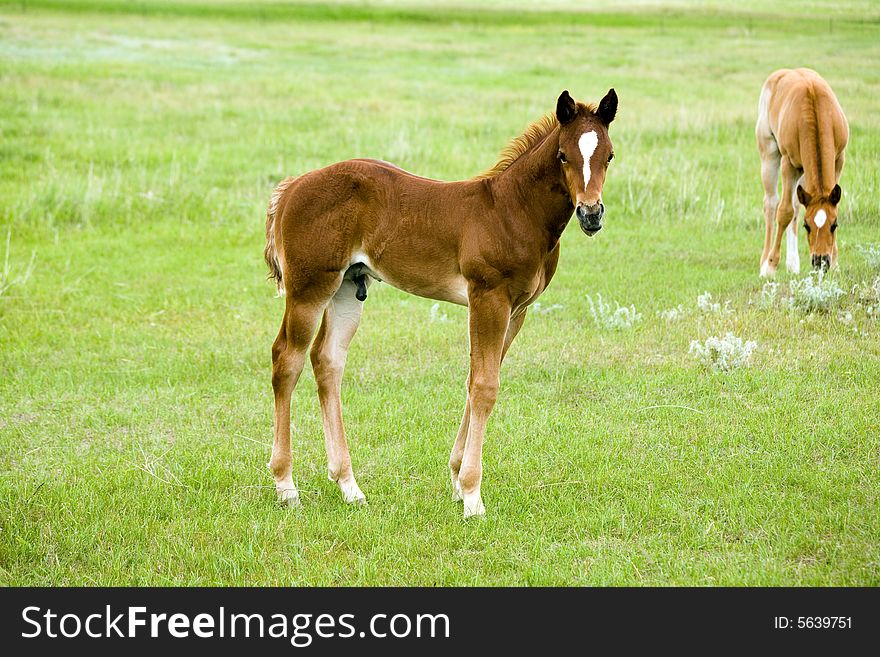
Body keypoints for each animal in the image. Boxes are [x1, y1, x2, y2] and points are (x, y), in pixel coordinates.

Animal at [264, 88, 616, 516]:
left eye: (609, 155)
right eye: (564, 155)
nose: (591, 213)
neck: (512, 210)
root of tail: (292, 187)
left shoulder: (516, 310)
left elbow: (477, 379)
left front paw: (457, 480)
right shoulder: (488, 298)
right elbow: (484, 386)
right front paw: (472, 495)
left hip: (347, 287)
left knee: (327, 360)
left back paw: (349, 485)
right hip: (309, 288)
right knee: (287, 359)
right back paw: (286, 485)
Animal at [752, 70, 848, 276]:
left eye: (834, 225)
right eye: (807, 226)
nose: (821, 261)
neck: (816, 112)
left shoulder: (839, 159)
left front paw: (836, 264)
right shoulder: (788, 164)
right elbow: (784, 212)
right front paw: (770, 266)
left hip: (804, 171)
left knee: (796, 205)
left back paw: (793, 263)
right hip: (769, 154)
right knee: (771, 204)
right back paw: (765, 260)